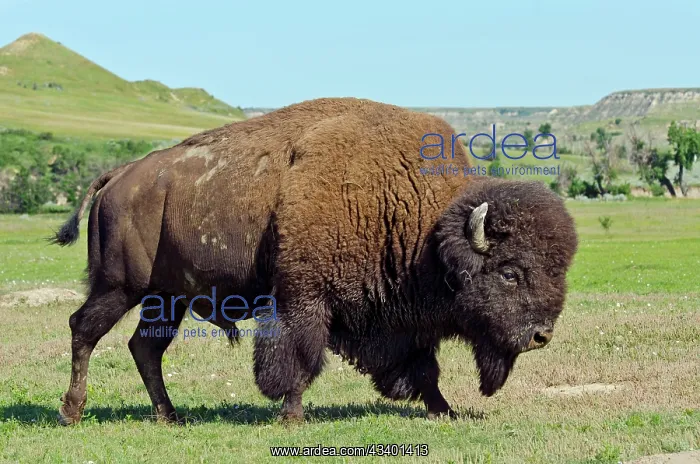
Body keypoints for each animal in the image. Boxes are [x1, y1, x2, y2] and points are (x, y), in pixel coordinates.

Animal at [51, 97, 578, 425]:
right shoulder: (304, 298)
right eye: (510, 272)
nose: (542, 336)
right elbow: (297, 359)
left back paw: (170, 417)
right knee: (85, 329)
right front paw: (291, 416)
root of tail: (120, 174)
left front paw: (442, 409)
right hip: (120, 287)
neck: (416, 217)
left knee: (145, 348)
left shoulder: (406, 320)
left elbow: (423, 367)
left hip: (167, 298)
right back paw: (72, 411)